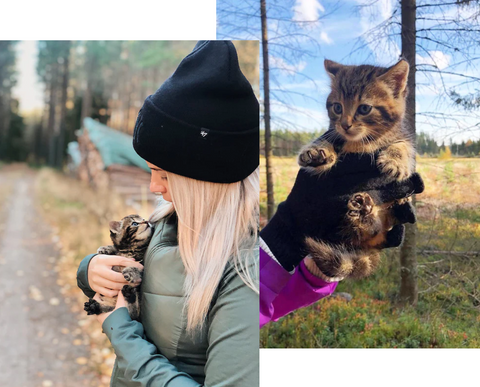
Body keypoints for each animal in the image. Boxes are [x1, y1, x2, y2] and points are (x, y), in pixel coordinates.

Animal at [298, 59, 414, 280]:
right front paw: (316, 152)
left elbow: (403, 145)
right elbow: (329, 138)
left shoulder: (402, 136)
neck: (362, 142)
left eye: (364, 109)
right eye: (337, 107)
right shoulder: (335, 134)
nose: (345, 124)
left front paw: (395, 160)